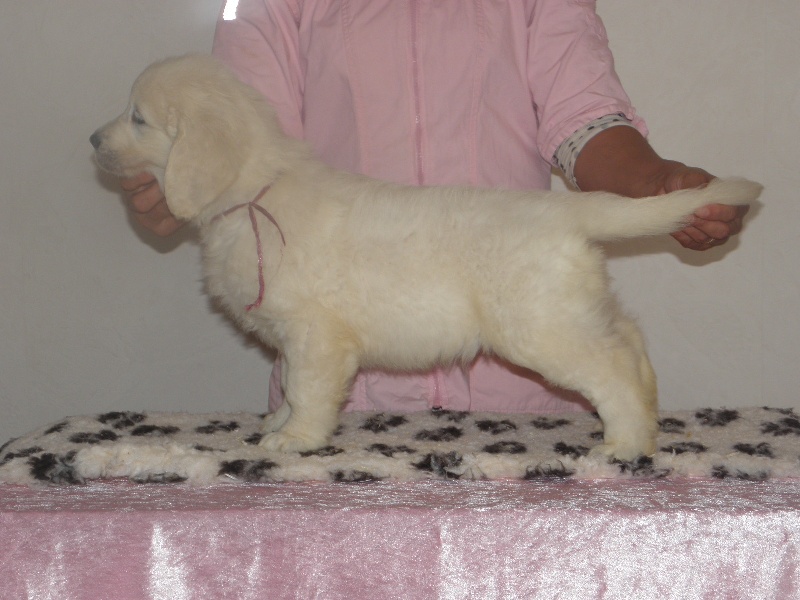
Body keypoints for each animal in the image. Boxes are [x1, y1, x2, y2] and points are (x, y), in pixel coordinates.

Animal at [91, 55, 761, 460]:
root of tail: (567, 212)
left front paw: (296, 440)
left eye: (138, 118)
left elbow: (305, 389)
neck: (255, 191)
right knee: (629, 339)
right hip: (572, 308)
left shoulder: (314, 334)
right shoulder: (296, 333)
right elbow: (288, 391)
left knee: (611, 367)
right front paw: (278, 426)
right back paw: (646, 417)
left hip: (540, 326)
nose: (93, 140)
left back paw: (624, 442)